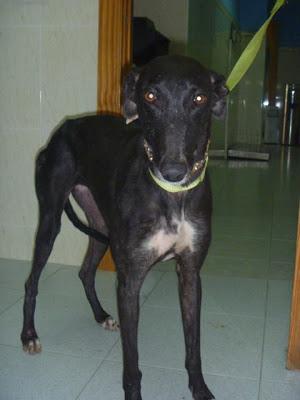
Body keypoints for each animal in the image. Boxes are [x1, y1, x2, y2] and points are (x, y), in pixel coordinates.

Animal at [21, 55, 227, 400]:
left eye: (200, 98)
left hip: (101, 225)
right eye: (150, 96)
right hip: (51, 221)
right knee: (32, 281)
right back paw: (28, 335)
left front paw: (200, 389)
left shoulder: (190, 274)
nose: (173, 171)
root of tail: (64, 128)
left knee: (86, 271)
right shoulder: (130, 281)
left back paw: (101, 315)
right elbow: (132, 362)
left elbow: (193, 345)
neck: (173, 196)